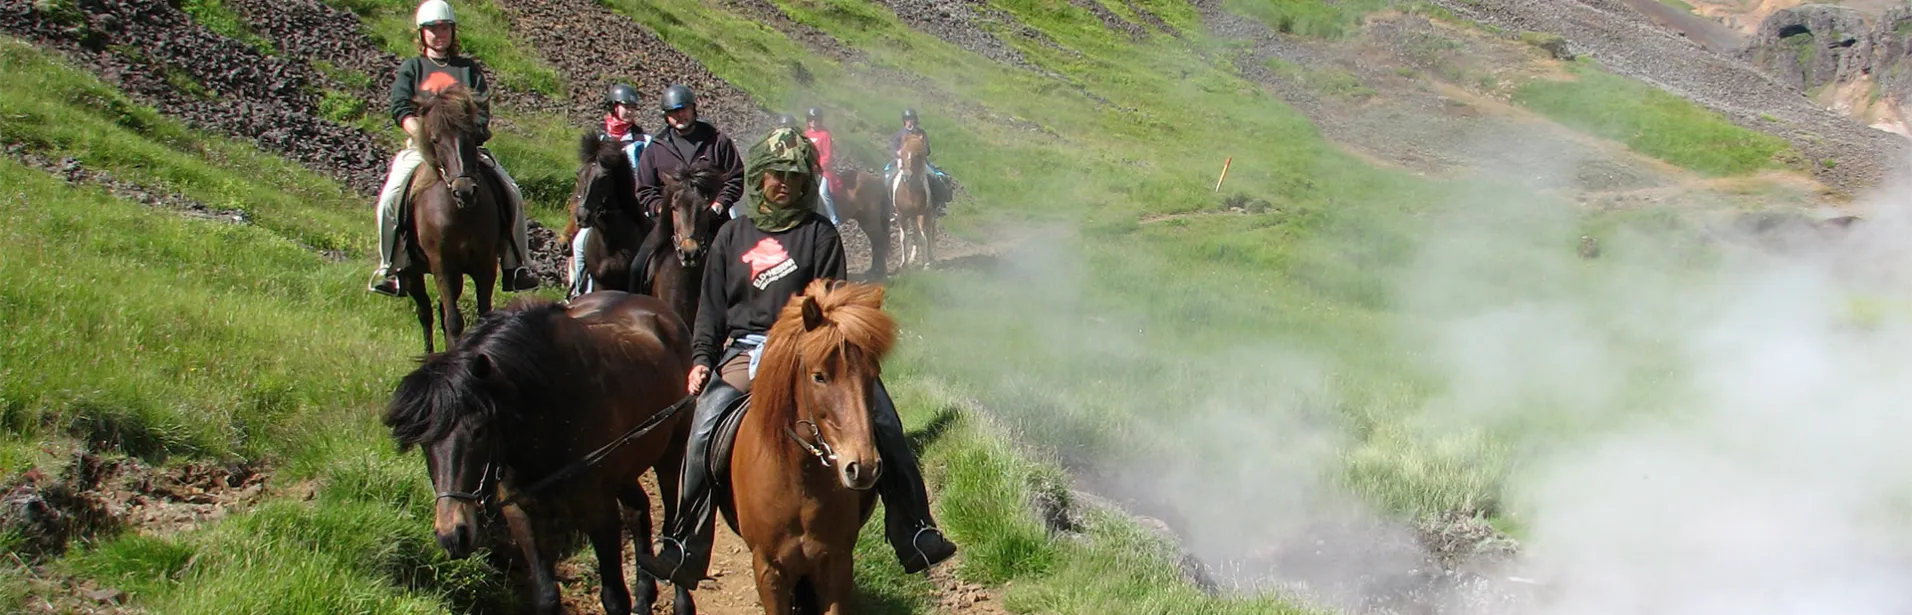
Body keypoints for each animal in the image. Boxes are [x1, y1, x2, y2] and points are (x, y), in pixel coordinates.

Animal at [380, 292, 703, 615]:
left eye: (479, 430)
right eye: (423, 442)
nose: (452, 535)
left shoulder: (600, 511)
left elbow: (614, 598)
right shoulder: (521, 513)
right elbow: (546, 596)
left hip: (671, 456)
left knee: (672, 526)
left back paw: (681, 602)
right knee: (638, 512)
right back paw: (645, 596)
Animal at [397, 82, 504, 353]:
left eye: (472, 136)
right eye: (435, 139)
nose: (464, 191)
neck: (461, 214)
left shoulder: (485, 263)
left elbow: (482, 315)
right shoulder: (442, 264)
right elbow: (453, 320)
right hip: (414, 271)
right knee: (425, 311)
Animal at [718, 280, 898, 615]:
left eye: (873, 375)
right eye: (819, 377)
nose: (863, 468)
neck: (800, 482)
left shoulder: (836, 563)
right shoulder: (769, 570)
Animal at [887, 135, 933, 273]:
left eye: (917, 154)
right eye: (901, 153)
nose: (906, 175)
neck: (910, 192)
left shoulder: (921, 214)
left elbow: (923, 238)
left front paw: (926, 264)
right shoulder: (902, 215)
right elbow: (903, 238)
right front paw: (904, 263)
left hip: (928, 214)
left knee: (927, 234)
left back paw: (930, 256)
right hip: (911, 217)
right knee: (916, 234)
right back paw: (912, 258)